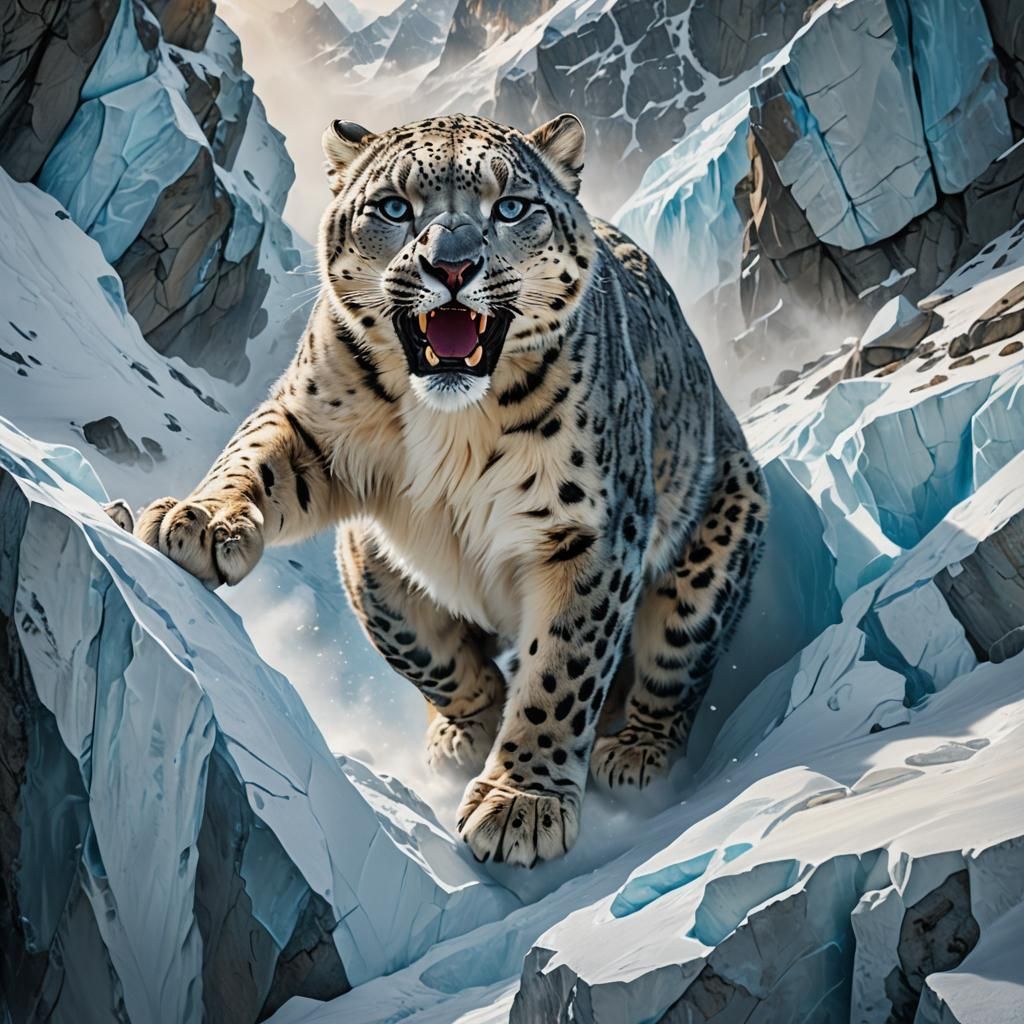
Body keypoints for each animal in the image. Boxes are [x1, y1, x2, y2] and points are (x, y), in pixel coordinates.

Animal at [117, 112, 768, 867]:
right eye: (394, 208)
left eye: (510, 207)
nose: (452, 267)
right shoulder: (312, 421)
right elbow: (254, 458)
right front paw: (199, 521)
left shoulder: (589, 531)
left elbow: (563, 667)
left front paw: (521, 802)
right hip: (371, 564)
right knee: (417, 643)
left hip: (714, 549)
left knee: (675, 666)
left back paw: (634, 752)